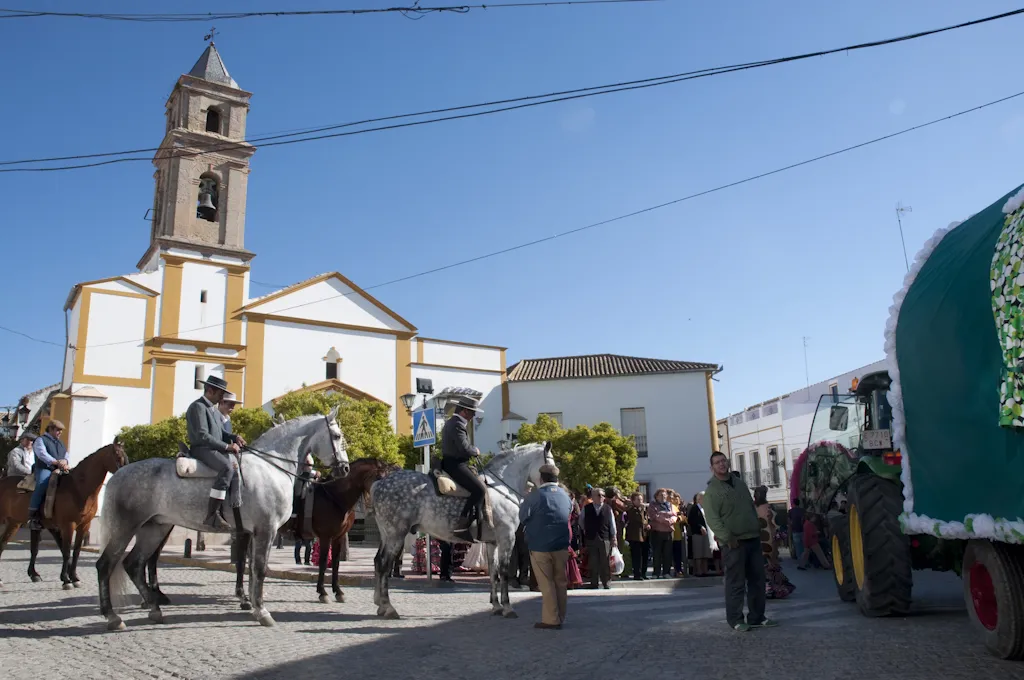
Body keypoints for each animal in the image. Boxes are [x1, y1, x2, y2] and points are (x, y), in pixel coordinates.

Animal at [0, 440, 126, 589]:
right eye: (117, 454)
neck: (78, 488)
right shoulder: (67, 525)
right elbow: (66, 551)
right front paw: (66, 580)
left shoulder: (83, 525)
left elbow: (75, 551)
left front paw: (74, 577)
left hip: (14, 523)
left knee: (3, 544)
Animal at [96, 405, 352, 630]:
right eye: (337, 436)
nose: (345, 469)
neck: (271, 465)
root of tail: (119, 473)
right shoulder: (265, 530)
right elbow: (259, 568)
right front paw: (262, 611)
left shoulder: (252, 532)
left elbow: (251, 568)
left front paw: (251, 603)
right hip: (125, 528)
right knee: (106, 565)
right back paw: (113, 617)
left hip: (154, 528)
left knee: (134, 564)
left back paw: (154, 609)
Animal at [368, 440, 557, 622]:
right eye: (551, 464)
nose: (554, 485)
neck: (503, 488)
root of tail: (379, 483)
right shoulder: (507, 537)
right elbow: (503, 571)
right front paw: (507, 607)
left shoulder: (492, 542)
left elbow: (493, 572)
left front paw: (496, 606)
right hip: (396, 534)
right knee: (384, 564)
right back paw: (388, 607)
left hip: (386, 534)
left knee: (377, 561)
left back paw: (379, 604)